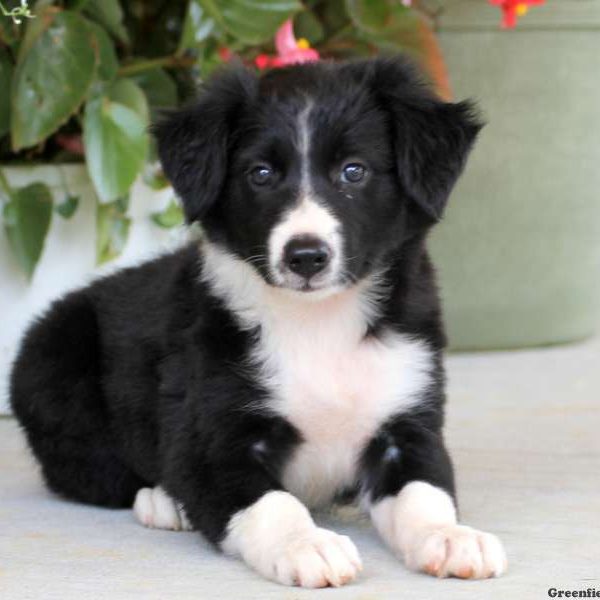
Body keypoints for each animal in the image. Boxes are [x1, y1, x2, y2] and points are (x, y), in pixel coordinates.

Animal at [10, 58, 506, 588]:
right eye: (261, 174)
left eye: (354, 171)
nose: (305, 256)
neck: (318, 324)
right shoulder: (214, 439)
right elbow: (271, 503)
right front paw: (307, 545)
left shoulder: (408, 420)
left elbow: (425, 491)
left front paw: (450, 537)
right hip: (53, 364)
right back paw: (164, 501)